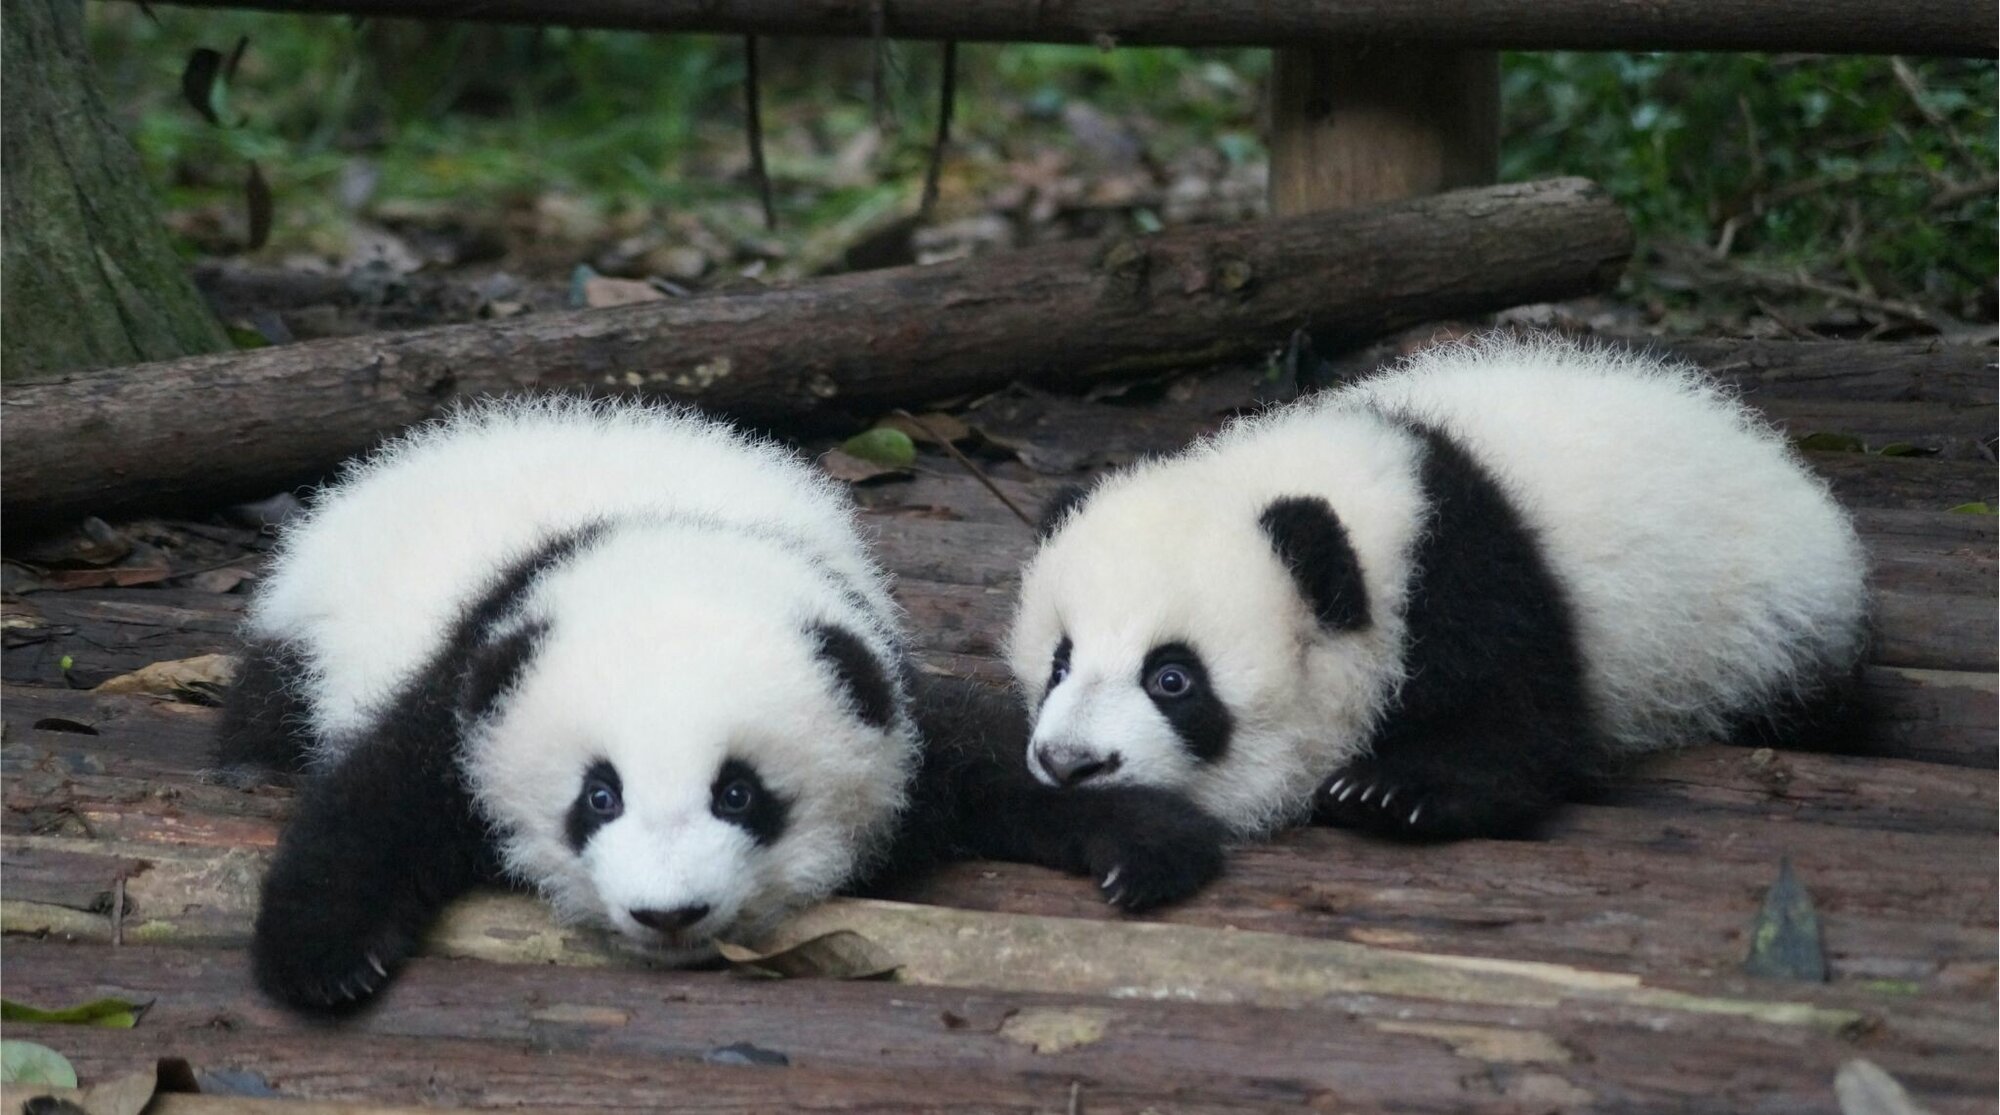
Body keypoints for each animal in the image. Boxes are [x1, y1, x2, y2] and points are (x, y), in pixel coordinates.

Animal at [221, 398, 1224, 1012]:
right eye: (599, 797)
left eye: (740, 794)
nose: (669, 915)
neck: (671, 539)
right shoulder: (476, 669)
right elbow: (377, 799)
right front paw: (326, 959)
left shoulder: (873, 673)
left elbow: (988, 757)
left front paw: (1145, 841)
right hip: (305, 626)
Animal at [1009, 334, 1870, 845]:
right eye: (1060, 662)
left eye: (1172, 678)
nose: (1069, 763)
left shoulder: (1472, 572)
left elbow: (1521, 723)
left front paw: (1390, 792)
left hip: (1766, 629)